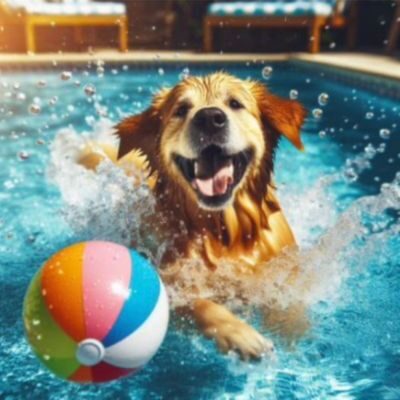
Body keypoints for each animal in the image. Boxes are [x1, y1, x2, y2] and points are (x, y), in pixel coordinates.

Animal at [79, 71, 308, 360]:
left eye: (235, 104)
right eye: (181, 110)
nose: (210, 117)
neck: (223, 232)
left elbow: (290, 308)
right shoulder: (169, 283)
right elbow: (199, 303)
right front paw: (239, 334)